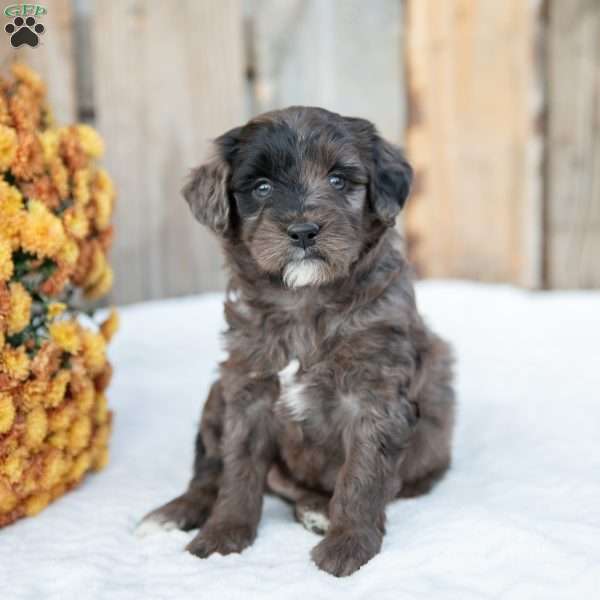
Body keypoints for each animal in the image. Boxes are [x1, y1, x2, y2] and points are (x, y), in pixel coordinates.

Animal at [137, 106, 454, 576]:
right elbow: (238, 471)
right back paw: (175, 512)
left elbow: (361, 475)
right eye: (262, 187)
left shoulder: (374, 395)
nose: (304, 231)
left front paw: (348, 545)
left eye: (339, 180)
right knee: (209, 472)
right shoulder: (247, 389)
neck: (305, 299)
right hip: (216, 395)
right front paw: (223, 534)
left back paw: (318, 511)